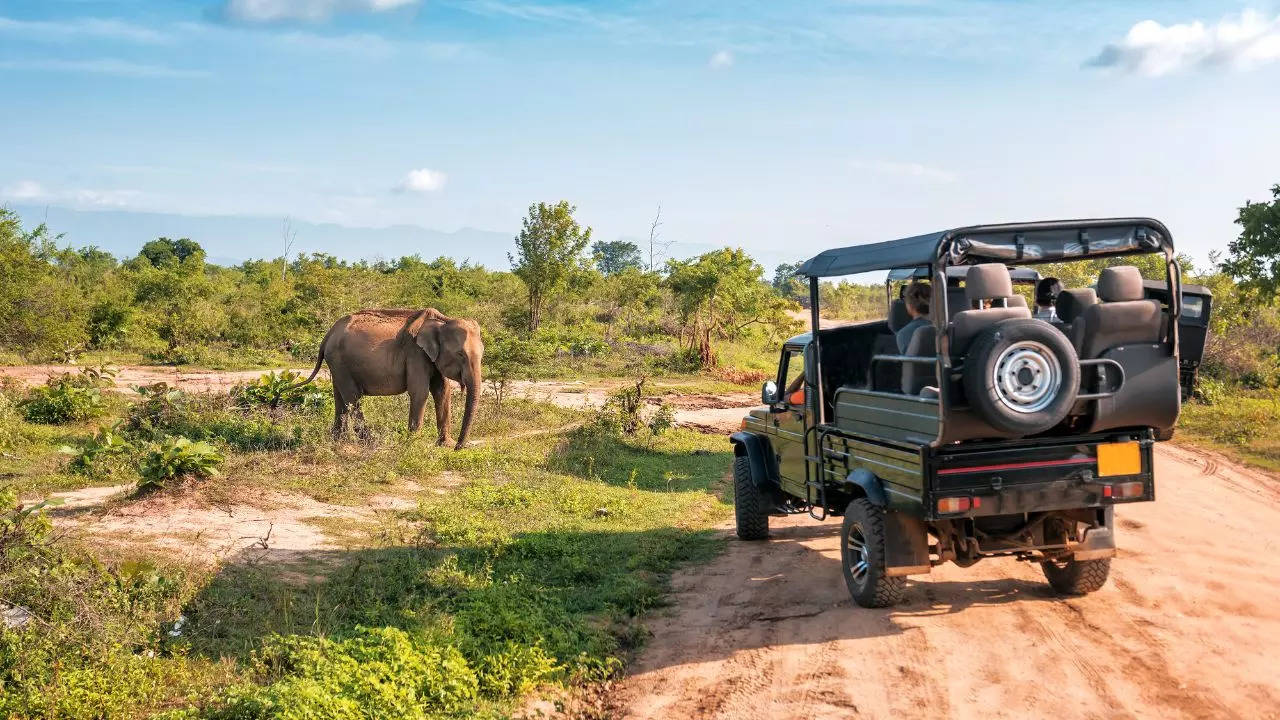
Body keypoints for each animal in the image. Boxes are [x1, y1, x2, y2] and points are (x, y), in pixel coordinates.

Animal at [294, 308, 483, 448]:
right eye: (460, 354)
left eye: (482, 353)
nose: (459, 447)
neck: (442, 321)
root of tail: (329, 333)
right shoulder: (415, 353)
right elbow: (420, 392)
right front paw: (413, 444)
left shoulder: (431, 358)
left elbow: (442, 391)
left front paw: (445, 444)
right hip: (339, 361)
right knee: (352, 397)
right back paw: (370, 442)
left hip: (336, 364)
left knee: (339, 397)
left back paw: (338, 441)